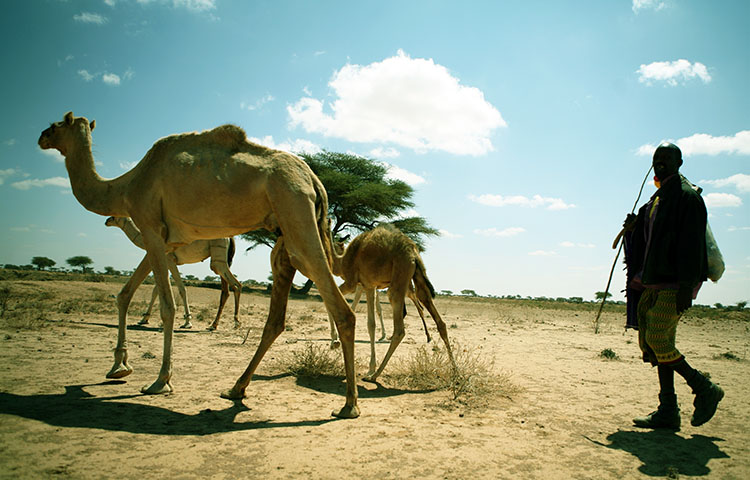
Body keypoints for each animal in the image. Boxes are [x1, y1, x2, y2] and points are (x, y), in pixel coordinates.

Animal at [104, 217, 241, 332]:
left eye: (114, 217)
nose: (106, 221)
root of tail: (230, 238)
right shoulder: (168, 261)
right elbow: (156, 290)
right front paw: (144, 319)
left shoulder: (169, 259)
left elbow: (181, 288)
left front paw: (187, 322)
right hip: (223, 260)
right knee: (225, 291)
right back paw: (214, 325)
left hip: (218, 257)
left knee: (236, 285)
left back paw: (236, 322)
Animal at [334, 225, 452, 382]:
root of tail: (413, 254)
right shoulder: (369, 285)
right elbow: (372, 319)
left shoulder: (356, 283)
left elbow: (368, 319)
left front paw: (335, 341)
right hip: (416, 277)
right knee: (436, 316)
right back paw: (455, 371)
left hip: (399, 281)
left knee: (401, 327)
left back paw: (375, 375)